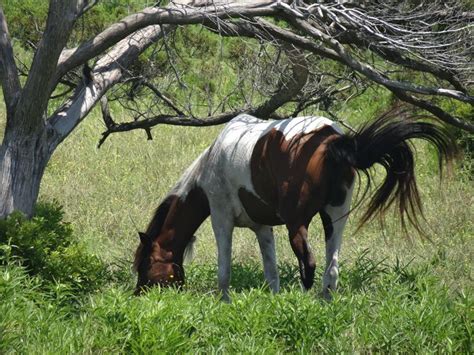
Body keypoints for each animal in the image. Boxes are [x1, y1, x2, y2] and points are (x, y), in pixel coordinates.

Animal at [133, 112, 456, 300]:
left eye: (146, 264)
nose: (139, 294)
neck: (211, 164)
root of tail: (331, 140)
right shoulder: (263, 227)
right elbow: (271, 271)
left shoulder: (221, 219)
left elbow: (224, 270)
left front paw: (224, 301)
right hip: (335, 218)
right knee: (331, 269)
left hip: (296, 222)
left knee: (309, 265)